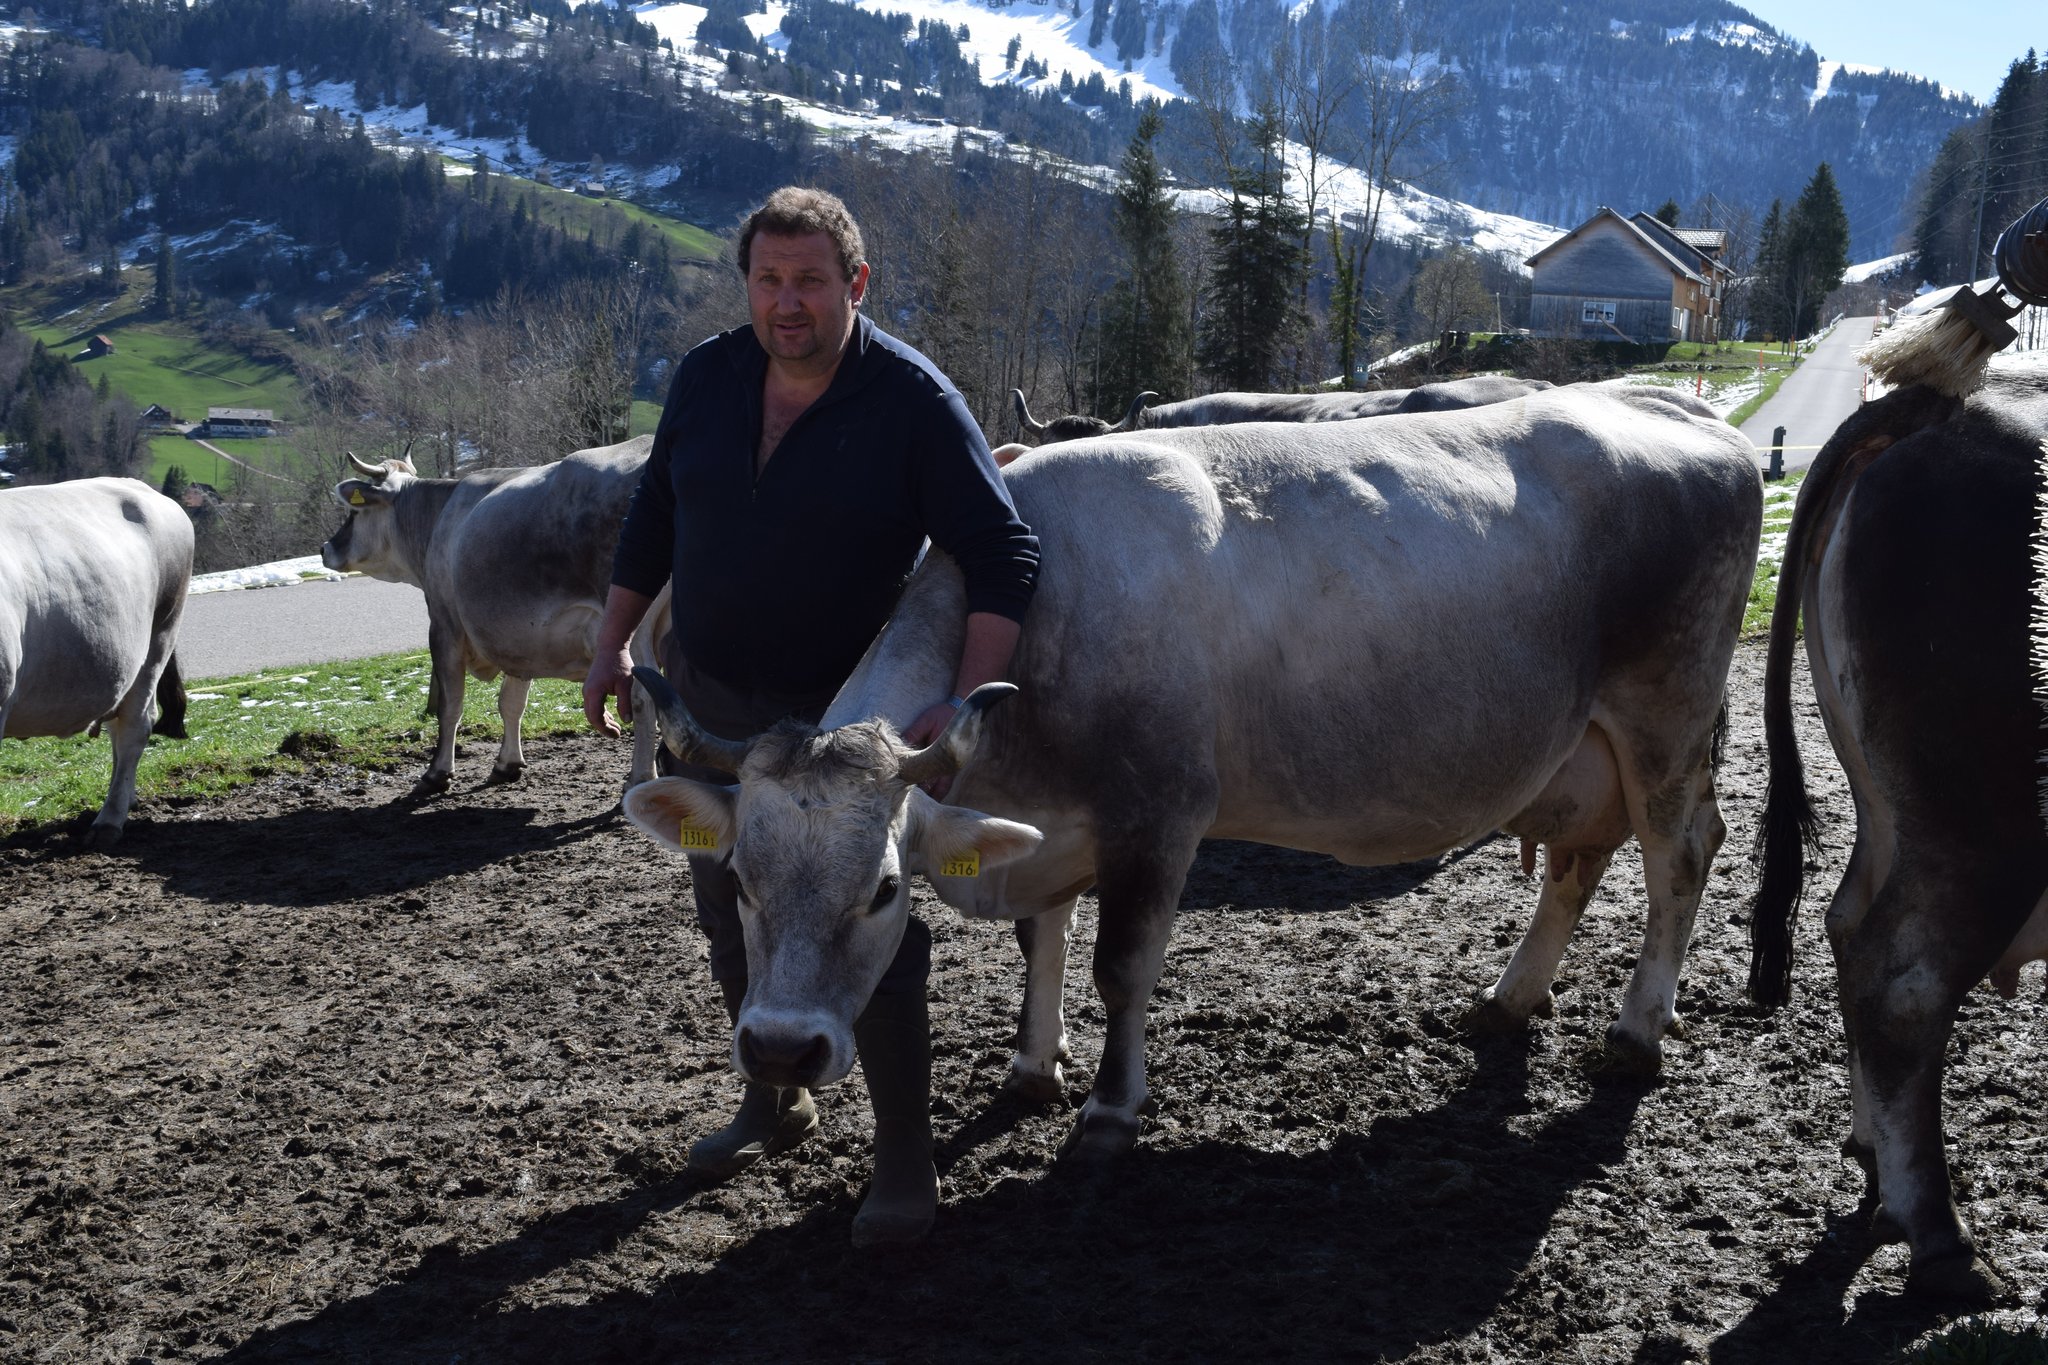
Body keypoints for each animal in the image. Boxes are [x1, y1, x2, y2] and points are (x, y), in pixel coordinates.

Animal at [0, 478, 193, 847]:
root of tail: (139, 486)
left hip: (161, 634)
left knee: (135, 728)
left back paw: (109, 820)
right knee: (120, 725)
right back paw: (126, 799)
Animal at [320, 438, 669, 796]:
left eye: (354, 511)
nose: (325, 548)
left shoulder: (444, 624)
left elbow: (450, 705)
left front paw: (437, 772)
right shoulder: (520, 638)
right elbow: (511, 702)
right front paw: (507, 764)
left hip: (630, 625)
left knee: (643, 694)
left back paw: (639, 780)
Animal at [618, 383, 1760, 1186]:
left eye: (884, 892)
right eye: (743, 883)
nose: (778, 1049)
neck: (1044, 600)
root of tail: (1667, 409)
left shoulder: (1158, 813)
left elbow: (1120, 967)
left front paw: (1107, 1114)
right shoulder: (1043, 820)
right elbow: (1044, 939)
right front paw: (1032, 1067)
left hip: (1663, 717)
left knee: (1679, 855)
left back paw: (1634, 1030)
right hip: (1580, 749)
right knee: (1578, 859)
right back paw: (1509, 998)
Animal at [1747, 353, 2048, 1304]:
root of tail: (1948, 405)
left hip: (1894, 806)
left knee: (1850, 924)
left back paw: (1876, 1169)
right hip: (1987, 821)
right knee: (1902, 980)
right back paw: (1941, 1239)